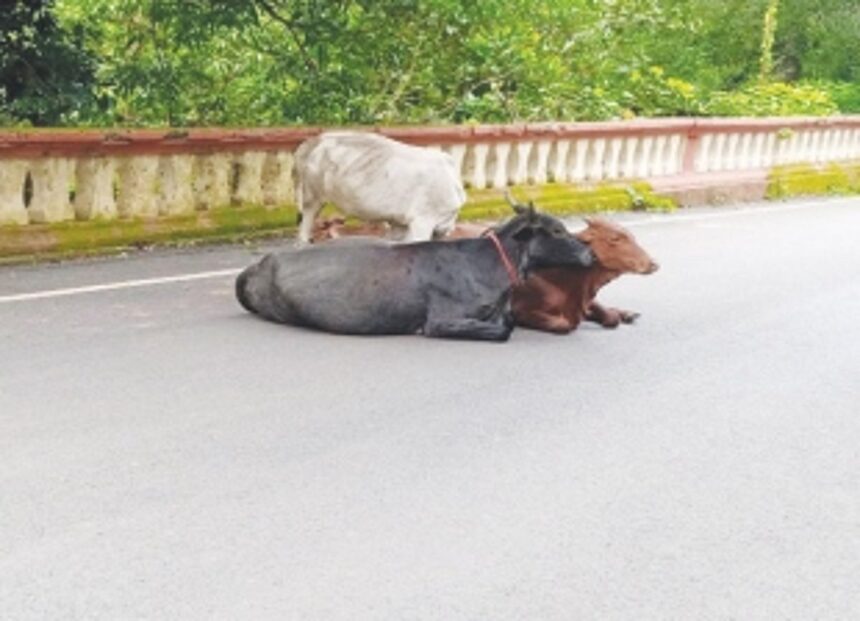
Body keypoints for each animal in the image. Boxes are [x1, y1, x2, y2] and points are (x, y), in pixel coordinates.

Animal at [511, 217, 659, 334]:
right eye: (614, 238)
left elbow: (610, 317)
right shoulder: (520, 311)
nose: (654, 263)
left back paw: (629, 314)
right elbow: (564, 324)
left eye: (633, 237)